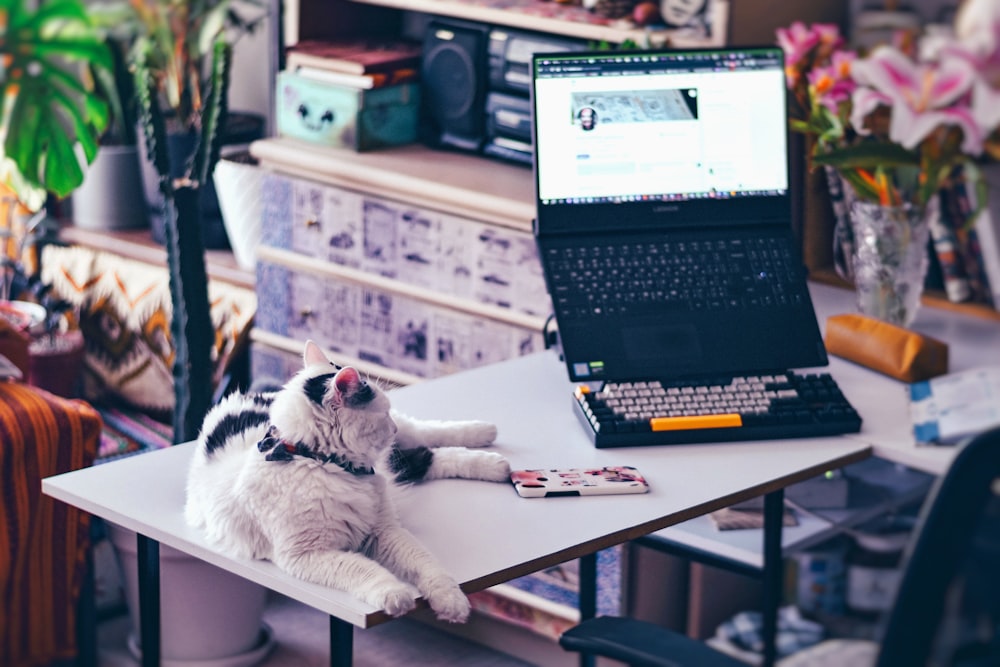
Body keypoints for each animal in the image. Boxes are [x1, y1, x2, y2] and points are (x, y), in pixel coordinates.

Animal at [185, 342, 512, 624]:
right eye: (382, 413)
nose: (391, 426)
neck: (322, 461)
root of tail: (248, 395)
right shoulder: (308, 555)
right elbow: (362, 570)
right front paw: (395, 595)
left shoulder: (385, 530)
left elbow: (425, 563)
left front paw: (451, 601)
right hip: (396, 459)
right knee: (426, 457)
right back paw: (497, 462)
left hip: (403, 443)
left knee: (426, 434)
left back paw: (487, 439)